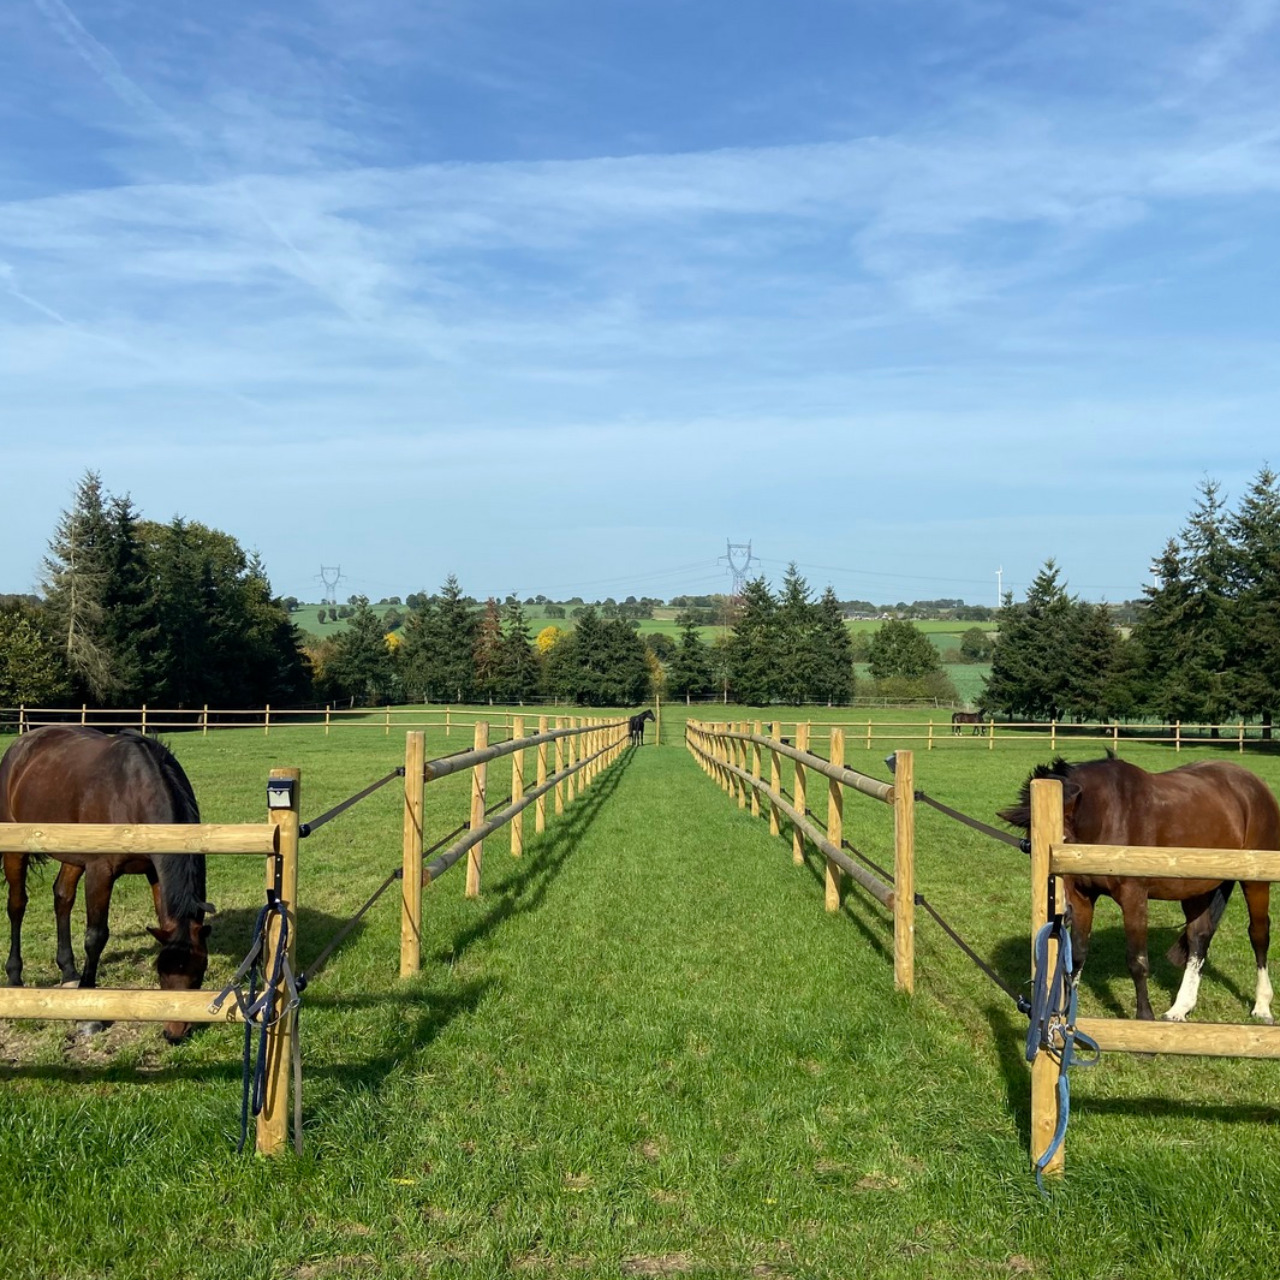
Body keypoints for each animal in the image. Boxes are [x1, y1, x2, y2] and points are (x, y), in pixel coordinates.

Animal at [1003, 752, 1274, 1024]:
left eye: (1065, 841)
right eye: (1032, 848)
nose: (1064, 911)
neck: (1111, 817)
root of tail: (1254, 785)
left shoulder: (1134, 897)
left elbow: (1137, 960)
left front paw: (1144, 1017)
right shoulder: (1082, 898)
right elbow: (1078, 955)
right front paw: (1067, 1016)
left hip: (1255, 881)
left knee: (1258, 933)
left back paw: (1262, 1006)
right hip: (1195, 887)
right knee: (1199, 935)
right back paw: (1179, 1009)